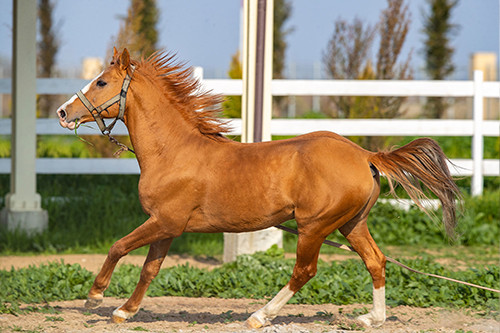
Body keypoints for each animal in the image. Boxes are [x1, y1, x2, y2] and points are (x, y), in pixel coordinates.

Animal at [57, 48, 460, 326]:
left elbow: (118, 246)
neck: (174, 152)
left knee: (304, 271)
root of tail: (364, 155)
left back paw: (259, 316)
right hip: (351, 224)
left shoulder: (165, 221)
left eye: (102, 82)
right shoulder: (167, 226)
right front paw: (125, 311)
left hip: (314, 227)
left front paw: (95, 297)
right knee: (376, 261)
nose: (63, 112)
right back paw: (371, 318)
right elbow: (149, 270)